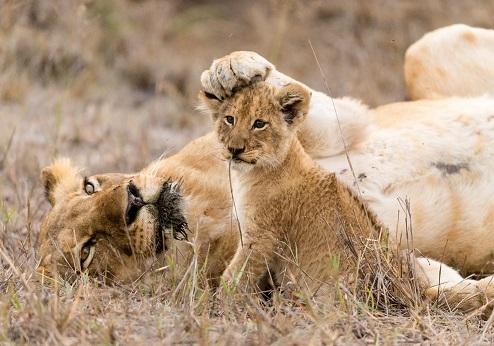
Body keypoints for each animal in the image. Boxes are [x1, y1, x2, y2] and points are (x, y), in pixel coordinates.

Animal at [37, 24, 494, 310]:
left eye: (91, 185)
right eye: (87, 253)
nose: (131, 200)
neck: (211, 211)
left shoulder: (348, 125)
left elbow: (299, 101)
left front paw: (230, 71)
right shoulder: (395, 261)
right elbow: (443, 290)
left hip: (427, 50)